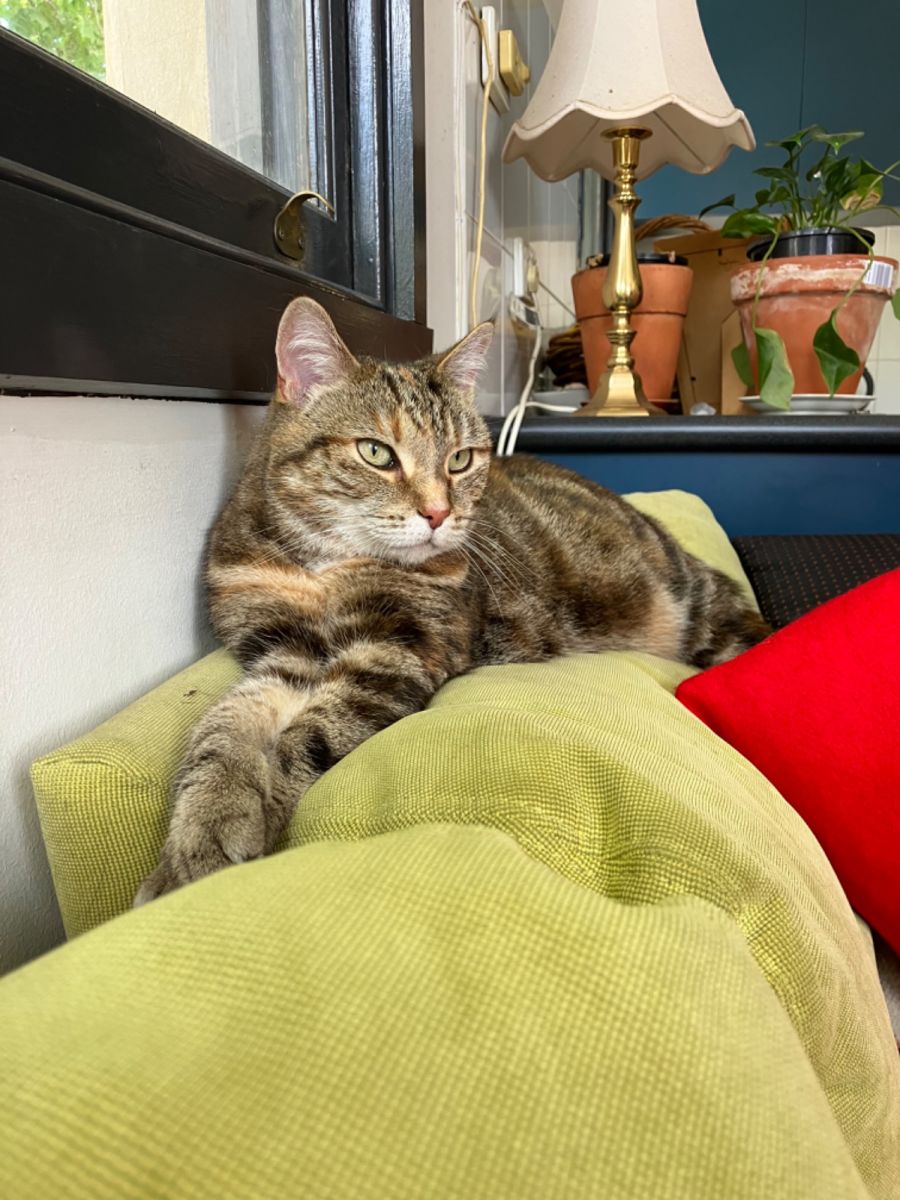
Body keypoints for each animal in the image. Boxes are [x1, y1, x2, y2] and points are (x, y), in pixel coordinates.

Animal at [135, 297, 769, 904]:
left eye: (460, 459)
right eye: (376, 452)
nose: (439, 513)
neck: (323, 566)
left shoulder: (403, 650)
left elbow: (307, 738)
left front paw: (259, 814)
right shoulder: (280, 653)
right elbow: (222, 733)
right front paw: (199, 837)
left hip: (702, 612)